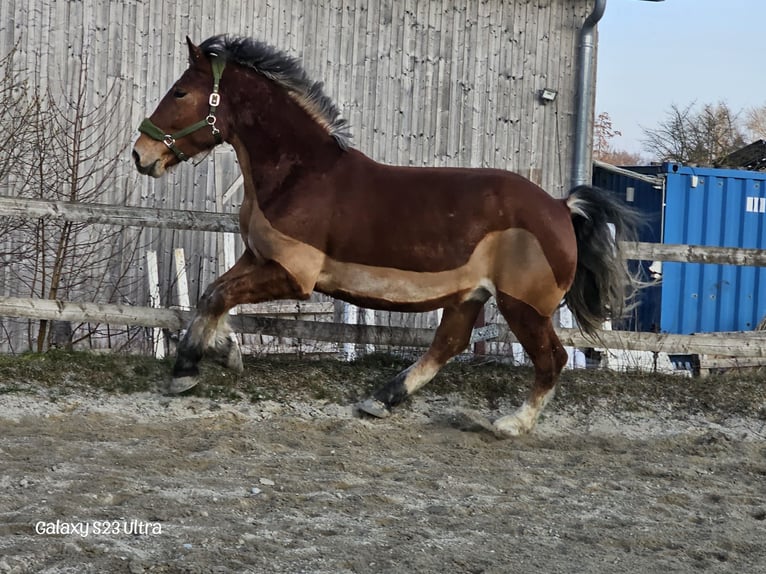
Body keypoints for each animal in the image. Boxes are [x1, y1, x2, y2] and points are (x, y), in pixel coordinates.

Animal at [134, 35, 640, 436]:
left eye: (180, 91)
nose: (142, 154)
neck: (301, 174)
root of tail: (560, 207)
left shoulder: (293, 275)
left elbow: (218, 296)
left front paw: (187, 369)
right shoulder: (257, 258)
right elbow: (211, 293)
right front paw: (222, 351)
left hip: (524, 307)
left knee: (550, 358)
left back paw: (511, 424)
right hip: (469, 296)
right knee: (449, 344)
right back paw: (381, 398)